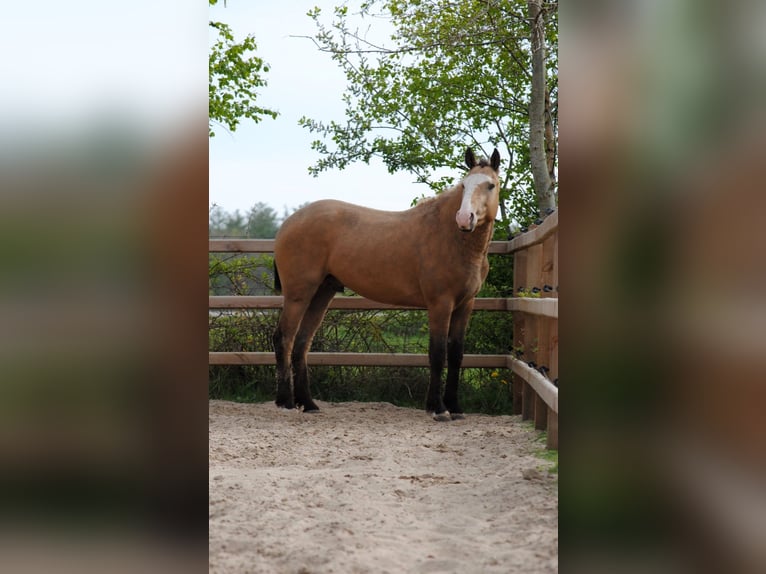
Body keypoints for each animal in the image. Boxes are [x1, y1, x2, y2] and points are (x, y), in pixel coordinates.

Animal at [272, 147, 501, 420]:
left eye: (490, 185)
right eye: (464, 185)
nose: (465, 219)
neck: (452, 238)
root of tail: (289, 222)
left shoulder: (465, 305)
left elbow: (456, 355)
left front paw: (454, 407)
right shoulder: (440, 304)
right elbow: (437, 354)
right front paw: (437, 408)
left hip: (321, 294)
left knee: (301, 344)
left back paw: (308, 403)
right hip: (298, 295)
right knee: (284, 339)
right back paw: (285, 401)